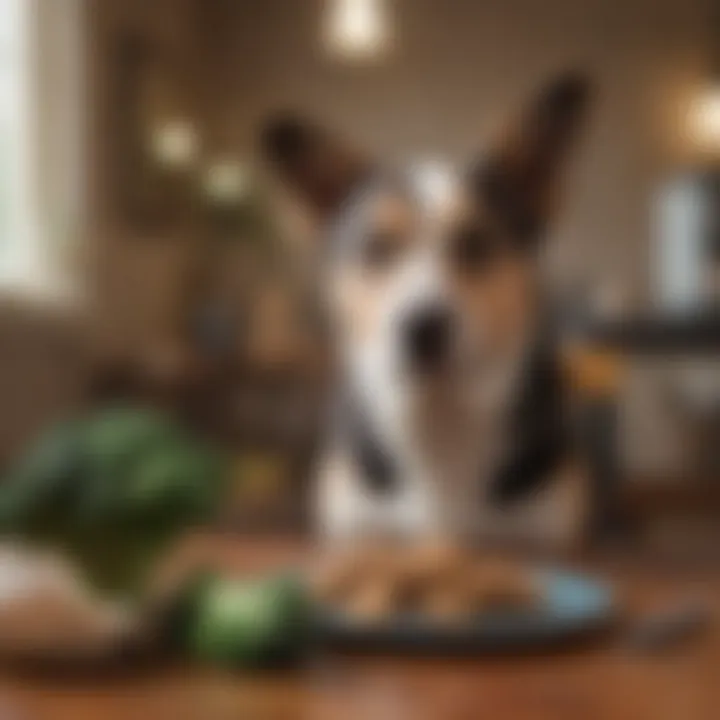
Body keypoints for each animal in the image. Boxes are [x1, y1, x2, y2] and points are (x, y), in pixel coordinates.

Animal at [262, 73, 592, 544]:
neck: (438, 412)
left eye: (476, 242)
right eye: (377, 248)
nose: (423, 327)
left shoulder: (542, 528)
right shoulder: (358, 528)